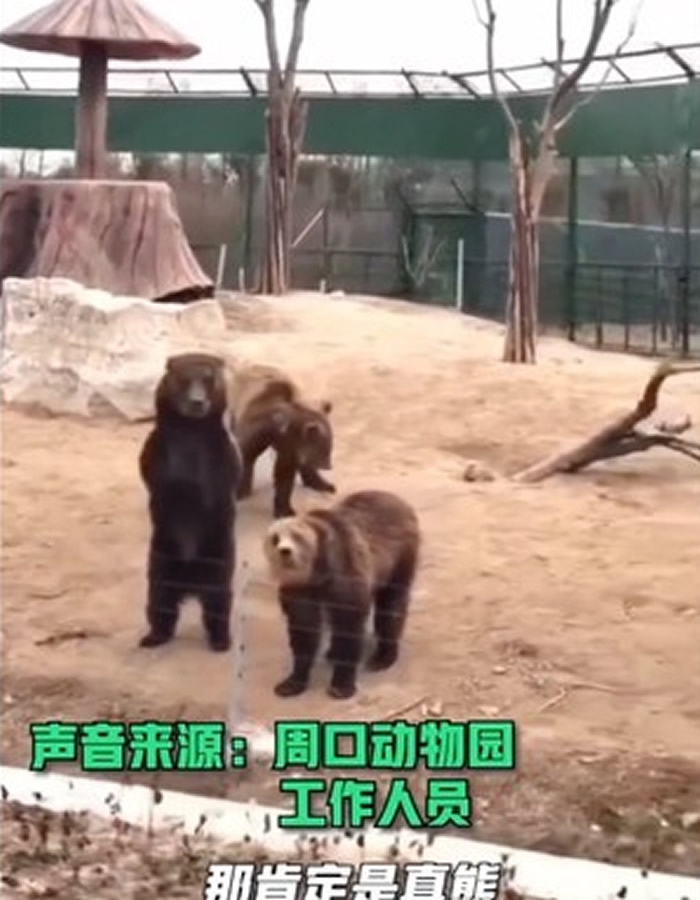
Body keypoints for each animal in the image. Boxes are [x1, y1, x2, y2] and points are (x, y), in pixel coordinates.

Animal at [138, 352, 242, 653]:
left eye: (208, 379)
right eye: (184, 379)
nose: (197, 401)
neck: (190, 429)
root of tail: (191, 587)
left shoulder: (222, 454)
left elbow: (219, 488)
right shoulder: (156, 450)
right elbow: (162, 484)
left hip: (218, 557)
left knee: (219, 603)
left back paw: (221, 640)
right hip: (162, 556)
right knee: (160, 601)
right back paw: (153, 636)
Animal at [228, 362, 336, 519]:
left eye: (330, 447)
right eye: (323, 449)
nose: (328, 466)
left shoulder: (289, 445)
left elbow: (284, 473)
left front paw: (285, 510)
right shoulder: (257, 429)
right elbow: (245, 455)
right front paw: (239, 492)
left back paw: (324, 484)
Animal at [262, 489, 421, 699]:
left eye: (297, 536)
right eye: (275, 539)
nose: (285, 551)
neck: (317, 574)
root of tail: (397, 499)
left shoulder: (345, 575)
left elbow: (348, 626)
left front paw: (341, 685)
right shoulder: (299, 591)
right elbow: (304, 631)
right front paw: (291, 682)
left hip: (399, 558)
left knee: (391, 607)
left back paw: (383, 656)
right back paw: (332, 652)